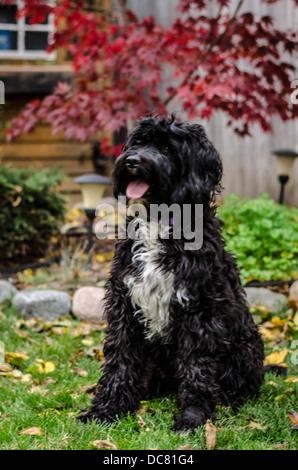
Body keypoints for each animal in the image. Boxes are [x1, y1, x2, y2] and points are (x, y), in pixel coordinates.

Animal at [78, 115, 264, 432]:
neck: (159, 221)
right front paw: (107, 409)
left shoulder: (199, 309)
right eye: (139, 142)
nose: (132, 161)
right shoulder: (123, 303)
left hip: (245, 345)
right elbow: (119, 360)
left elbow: (197, 366)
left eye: (166, 147)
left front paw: (193, 415)